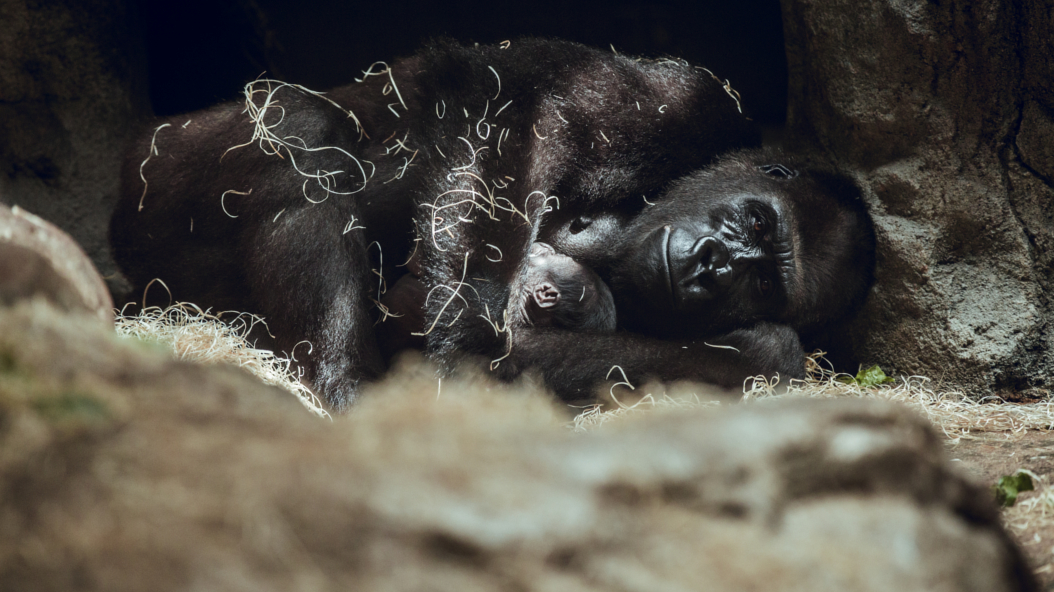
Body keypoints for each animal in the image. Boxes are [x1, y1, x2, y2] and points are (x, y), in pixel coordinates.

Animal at [111, 39, 876, 408]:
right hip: (157, 171)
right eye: (755, 221)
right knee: (303, 128)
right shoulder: (693, 100)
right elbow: (522, 107)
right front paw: (465, 320)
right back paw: (342, 385)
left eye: (764, 281)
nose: (715, 263)